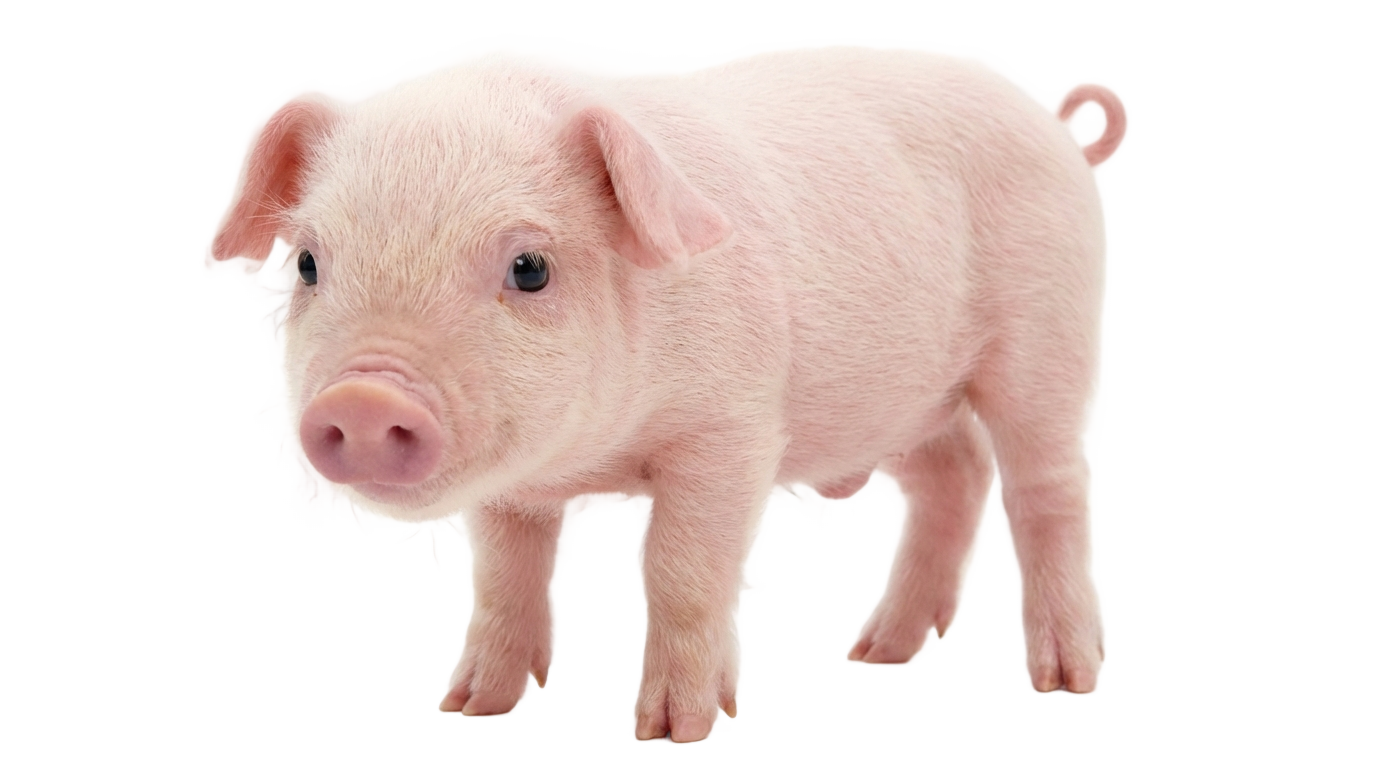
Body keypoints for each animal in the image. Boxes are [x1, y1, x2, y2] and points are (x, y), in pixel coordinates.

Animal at [212, 51, 1123, 742]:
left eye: (530, 268)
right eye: (307, 263)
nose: (364, 397)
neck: (597, 455)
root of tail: (1054, 128)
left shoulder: (731, 434)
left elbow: (683, 571)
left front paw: (676, 730)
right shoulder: (515, 488)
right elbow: (504, 577)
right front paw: (470, 708)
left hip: (1045, 338)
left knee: (1046, 490)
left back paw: (1066, 680)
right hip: (912, 402)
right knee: (952, 480)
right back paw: (877, 653)